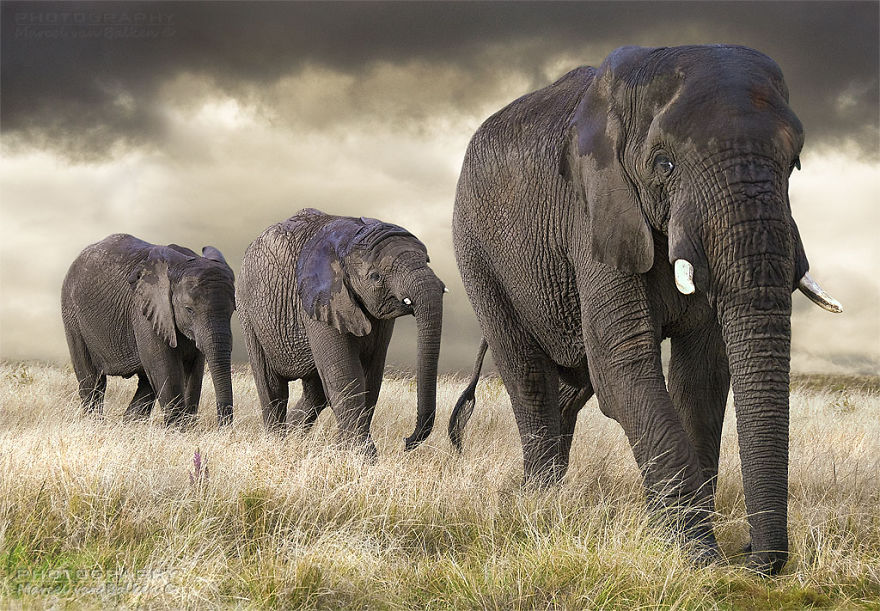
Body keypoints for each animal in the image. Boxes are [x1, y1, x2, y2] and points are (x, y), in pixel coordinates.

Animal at [61, 234, 236, 426]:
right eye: (189, 309)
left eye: (232, 311)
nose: (222, 428)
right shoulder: (145, 312)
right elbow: (166, 369)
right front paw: (177, 429)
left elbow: (194, 371)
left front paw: (187, 427)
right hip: (72, 315)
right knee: (92, 381)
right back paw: (95, 423)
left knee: (145, 382)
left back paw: (129, 424)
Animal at [236, 208, 445, 456]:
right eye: (375, 276)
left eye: (427, 261)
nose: (406, 441)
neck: (352, 239)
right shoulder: (318, 300)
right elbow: (345, 374)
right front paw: (360, 456)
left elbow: (370, 377)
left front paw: (343, 450)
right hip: (248, 312)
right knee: (273, 387)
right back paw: (276, 443)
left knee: (315, 393)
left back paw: (293, 438)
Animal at [447, 45, 842, 574]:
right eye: (665, 163)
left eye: (795, 163)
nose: (751, 556)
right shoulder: (592, 211)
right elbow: (624, 367)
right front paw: (700, 559)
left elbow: (703, 376)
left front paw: (688, 547)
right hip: (476, 252)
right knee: (528, 375)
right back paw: (537, 501)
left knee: (571, 386)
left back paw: (550, 497)